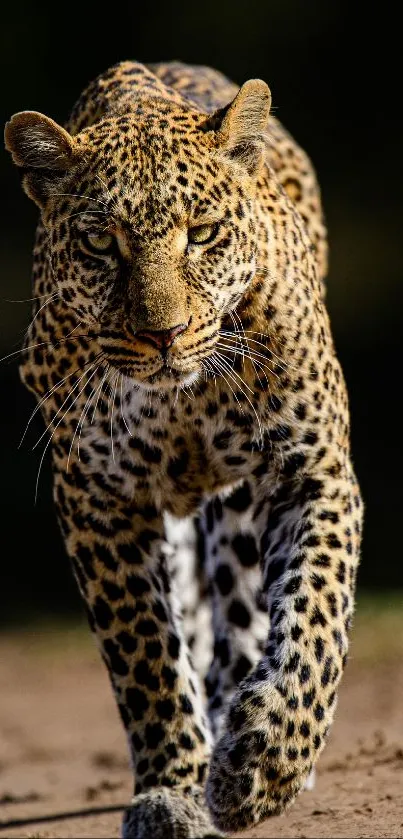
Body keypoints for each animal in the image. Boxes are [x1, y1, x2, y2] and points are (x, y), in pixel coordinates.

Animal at [3, 60, 362, 839]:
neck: (182, 398)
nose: (162, 335)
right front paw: (171, 790)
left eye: (201, 234)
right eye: (101, 244)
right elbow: (146, 656)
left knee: (245, 612)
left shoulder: (311, 470)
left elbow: (314, 618)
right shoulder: (98, 497)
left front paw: (265, 763)